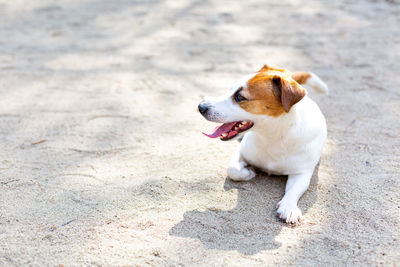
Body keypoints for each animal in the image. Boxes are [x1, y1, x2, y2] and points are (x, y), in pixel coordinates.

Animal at [198, 65, 326, 224]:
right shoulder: (241, 151)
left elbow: (294, 190)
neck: (273, 136)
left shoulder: (302, 173)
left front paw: (289, 207)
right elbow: (232, 169)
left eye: (240, 97)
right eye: (230, 90)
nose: (201, 107)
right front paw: (248, 172)